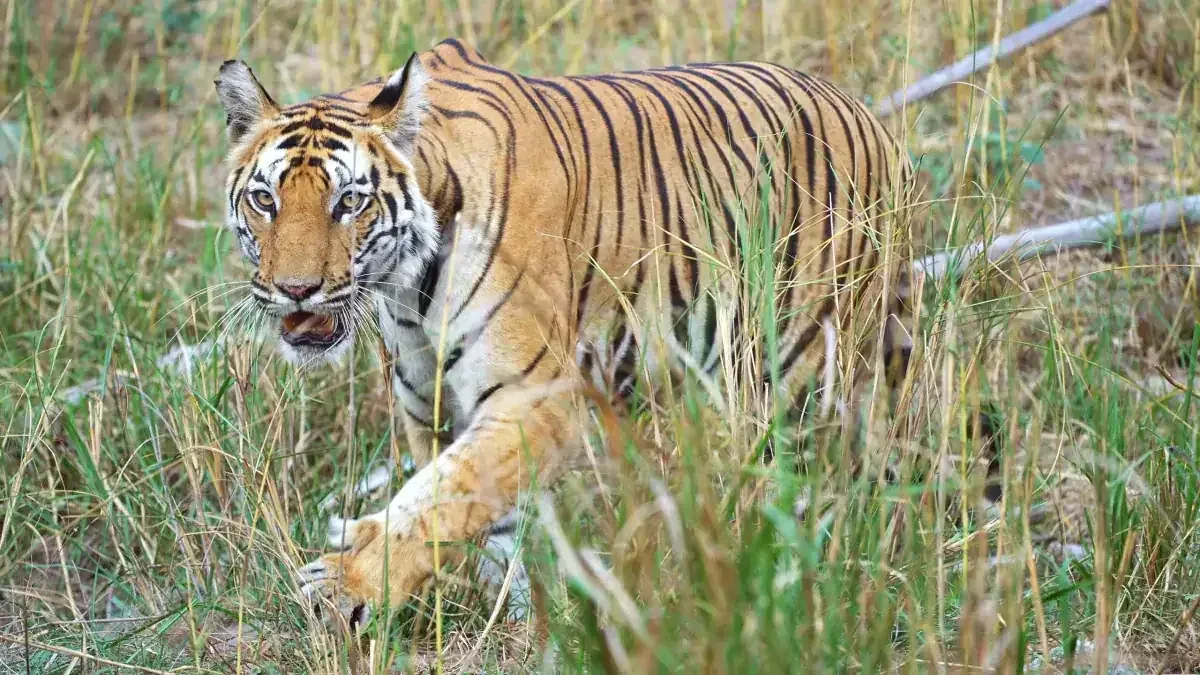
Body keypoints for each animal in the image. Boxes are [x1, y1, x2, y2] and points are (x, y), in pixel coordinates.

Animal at [214, 37, 915, 631]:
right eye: (265, 199)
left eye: (349, 203)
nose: (296, 290)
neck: (406, 289)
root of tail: (876, 123)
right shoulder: (430, 404)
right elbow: (478, 509)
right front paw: (525, 617)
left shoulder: (535, 399)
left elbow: (441, 496)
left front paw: (351, 582)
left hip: (805, 375)